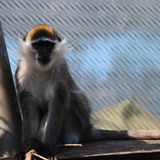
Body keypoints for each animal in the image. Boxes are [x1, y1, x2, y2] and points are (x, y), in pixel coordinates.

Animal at [15, 24, 160, 158]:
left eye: (48, 45)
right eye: (38, 45)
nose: (44, 53)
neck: (41, 69)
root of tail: (87, 129)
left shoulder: (60, 69)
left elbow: (57, 102)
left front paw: (48, 148)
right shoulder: (22, 72)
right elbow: (28, 107)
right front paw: (26, 147)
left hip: (79, 123)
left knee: (70, 98)